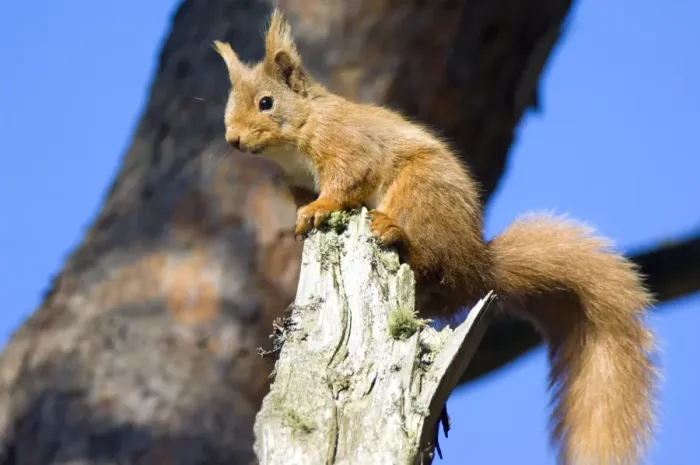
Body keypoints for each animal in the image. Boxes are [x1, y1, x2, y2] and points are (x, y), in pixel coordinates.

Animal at [213, 9, 658, 465]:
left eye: (266, 102)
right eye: (230, 104)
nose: (233, 140)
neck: (299, 136)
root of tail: (476, 265)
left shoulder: (348, 147)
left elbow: (346, 182)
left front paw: (318, 210)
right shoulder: (297, 182)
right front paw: (301, 224)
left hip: (419, 193)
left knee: (427, 258)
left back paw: (393, 231)